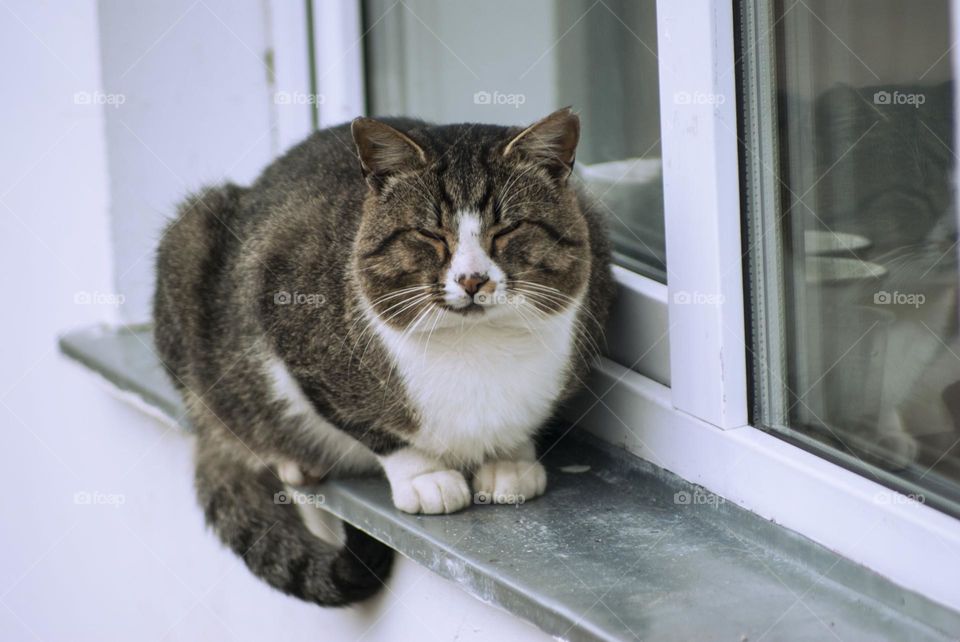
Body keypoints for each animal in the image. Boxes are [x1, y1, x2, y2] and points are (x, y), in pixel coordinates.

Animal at [150, 109, 616, 604]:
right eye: (430, 233)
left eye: (508, 229)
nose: (472, 280)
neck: (476, 344)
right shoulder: (286, 312)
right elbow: (372, 426)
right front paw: (425, 477)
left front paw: (510, 460)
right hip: (190, 237)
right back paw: (291, 459)